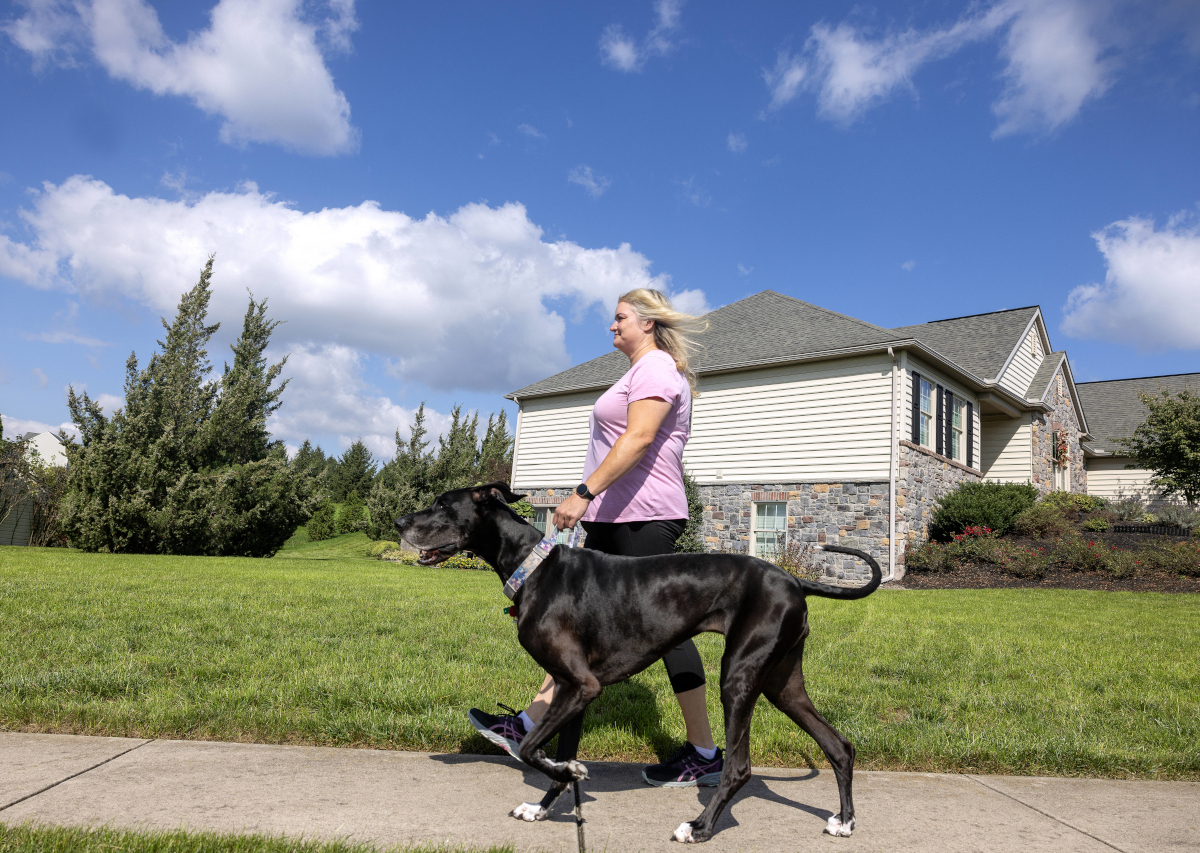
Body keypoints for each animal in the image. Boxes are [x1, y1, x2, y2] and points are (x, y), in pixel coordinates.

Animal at [398, 484, 878, 844]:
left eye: (443, 504)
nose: (400, 522)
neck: (532, 569)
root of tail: (794, 579)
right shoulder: (572, 689)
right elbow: (552, 754)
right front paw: (542, 804)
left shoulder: (583, 685)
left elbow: (531, 747)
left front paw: (566, 771)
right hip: (783, 682)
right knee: (839, 746)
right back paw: (845, 820)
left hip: (739, 677)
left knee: (739, 767)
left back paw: (700, 828)